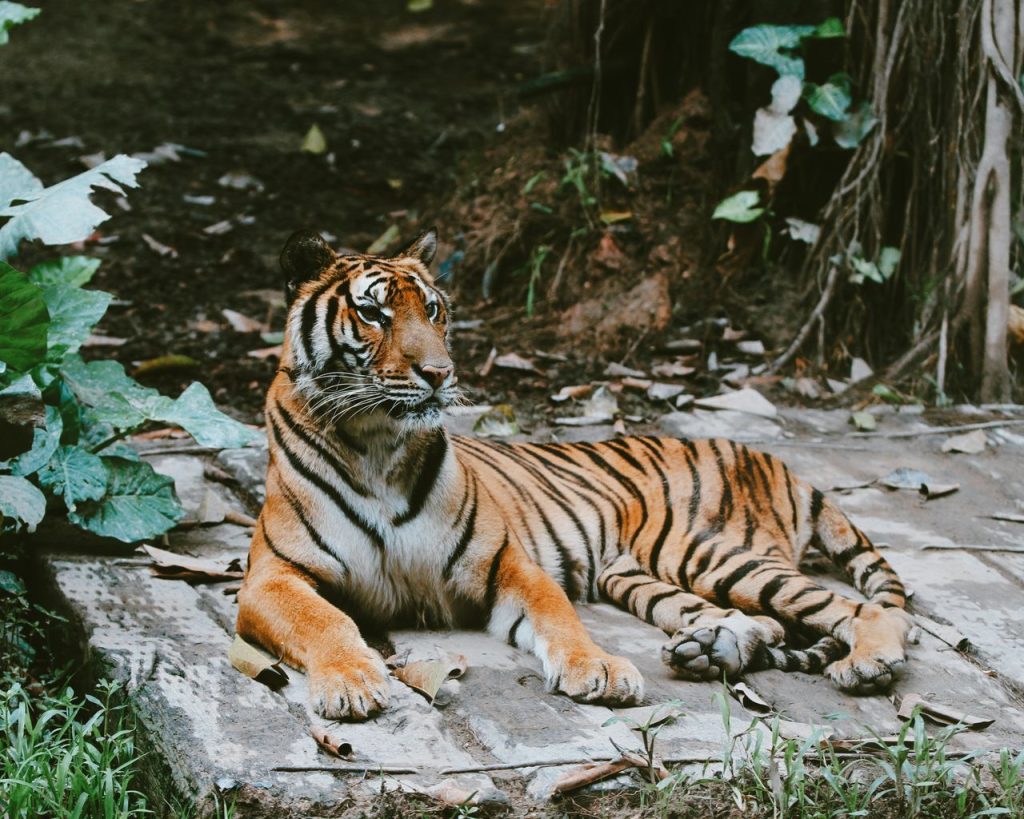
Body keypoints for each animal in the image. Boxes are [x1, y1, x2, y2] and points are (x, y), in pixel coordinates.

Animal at [235, 228, 912, 721]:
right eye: (374, 315)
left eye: (432, 310)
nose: (439, 373)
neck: (377, 443)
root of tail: (771, 457)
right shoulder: (271, 577)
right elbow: (325, 621)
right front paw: (351, 681)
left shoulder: (505, 561)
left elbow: (558, 613)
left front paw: (600, 670)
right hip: (643, 575)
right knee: (769, 621)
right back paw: (710, 649)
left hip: (708, 551)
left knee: (864, 610)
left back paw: (866, 665)